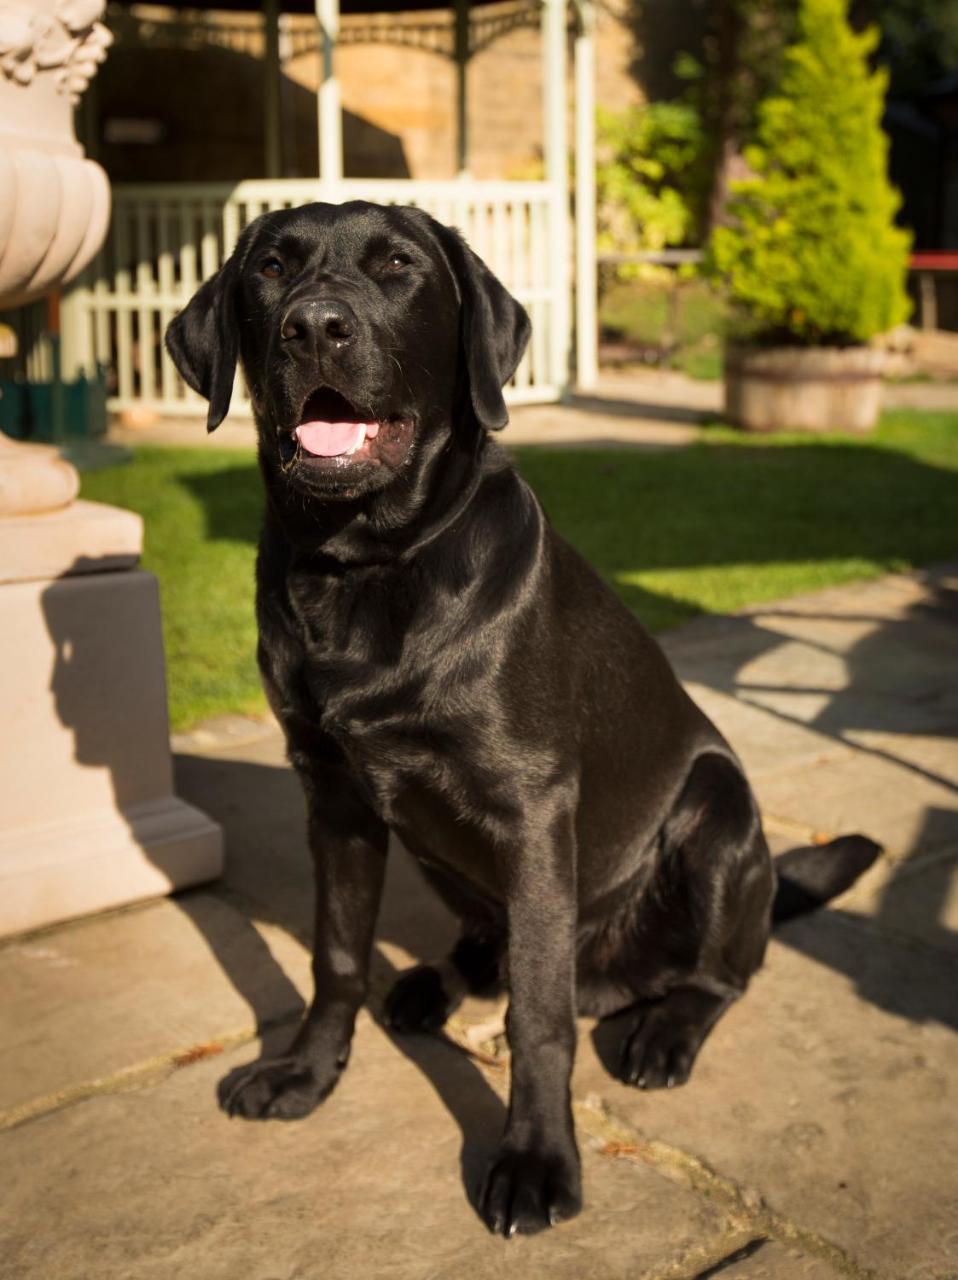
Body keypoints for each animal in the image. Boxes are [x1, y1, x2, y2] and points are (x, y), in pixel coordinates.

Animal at [166, 202, 881, 1239]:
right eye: (268, 270)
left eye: (397, 266)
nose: (315, 327)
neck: (363, 567)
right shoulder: (334, 797)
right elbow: (336, 956)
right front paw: (305, 1072)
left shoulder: (533, 810)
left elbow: (537, 1016)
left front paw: (537, 1161)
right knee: (488, 947)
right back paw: (430, 981)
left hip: (716, 814)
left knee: (721, 974)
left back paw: (662, 1032)